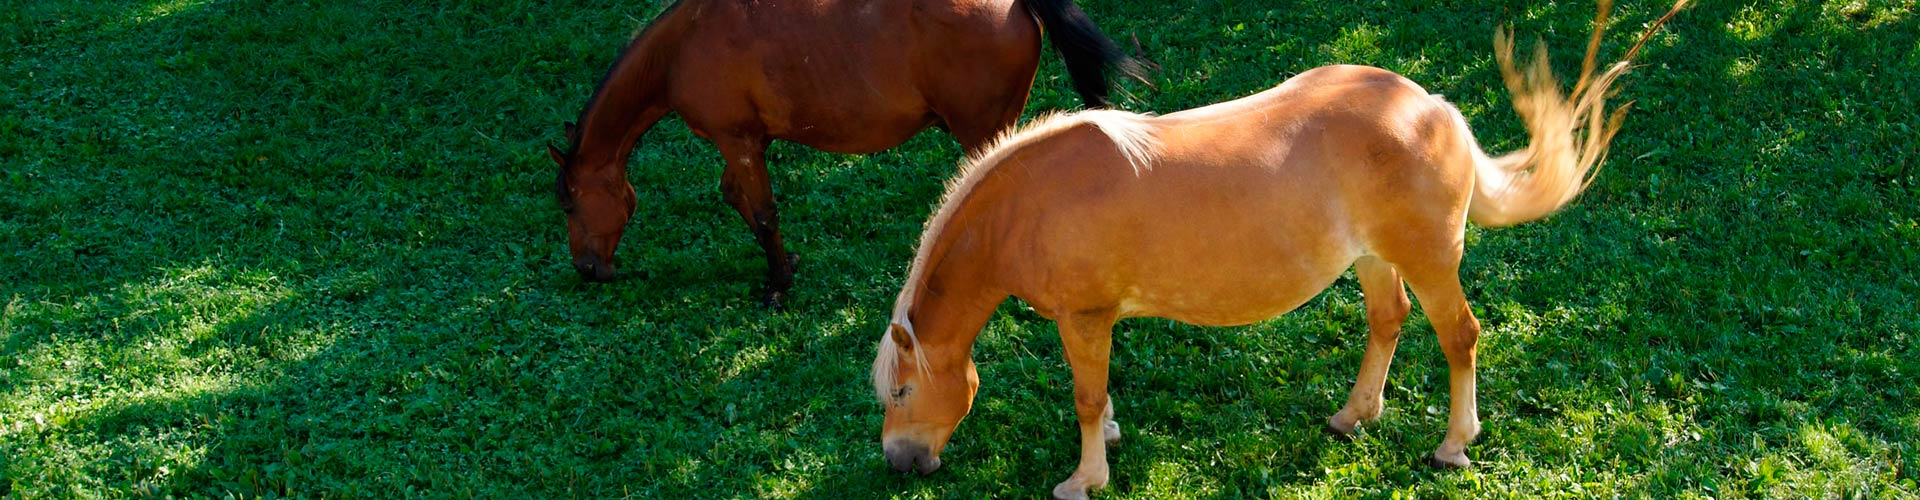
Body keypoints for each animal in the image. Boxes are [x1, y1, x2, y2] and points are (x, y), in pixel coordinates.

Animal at [541, 0, 1136, 305]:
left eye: (568, 204)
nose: (587, 269)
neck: (682, 45)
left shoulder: (737, 142)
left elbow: (763, 213)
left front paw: (778, 288)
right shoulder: (749, 145)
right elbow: (738, 200)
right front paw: (785, 268)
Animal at [871, 0, 1681, 496]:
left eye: (903, 392)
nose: (900, 464)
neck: (1032, 200)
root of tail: (1431, 109)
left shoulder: (1086, 318)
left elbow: (1085, 396)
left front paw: (1084, 478)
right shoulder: (1090, 324)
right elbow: (1097, 394)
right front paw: (1110, 441)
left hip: (1428, 263)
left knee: (1460, 337)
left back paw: (1453, 445)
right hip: (1372, 260)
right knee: (1387, 321)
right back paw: (1354, 416)